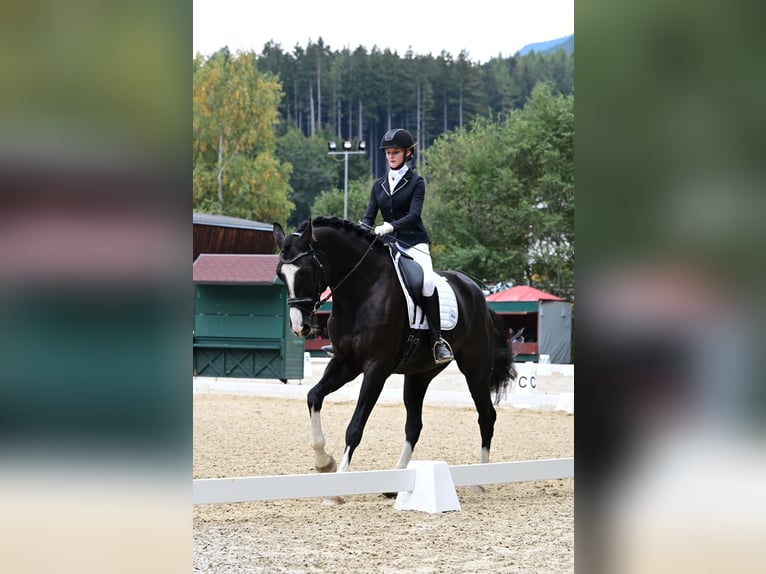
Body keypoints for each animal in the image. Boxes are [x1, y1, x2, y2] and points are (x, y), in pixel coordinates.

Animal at [273, 216, 516, 502]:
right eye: (281, 274)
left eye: (305, 272)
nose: (300, 327)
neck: (360, 291)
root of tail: (476, 292)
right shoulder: (345, 363)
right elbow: (313, 396)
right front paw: (324, 462)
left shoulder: (376, 368)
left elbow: (355, 426)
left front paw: (338, 487)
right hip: (420, 374)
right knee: (414, 425)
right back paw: (397, 482)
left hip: (475, 369)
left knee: (486, 416)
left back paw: (479, 481)